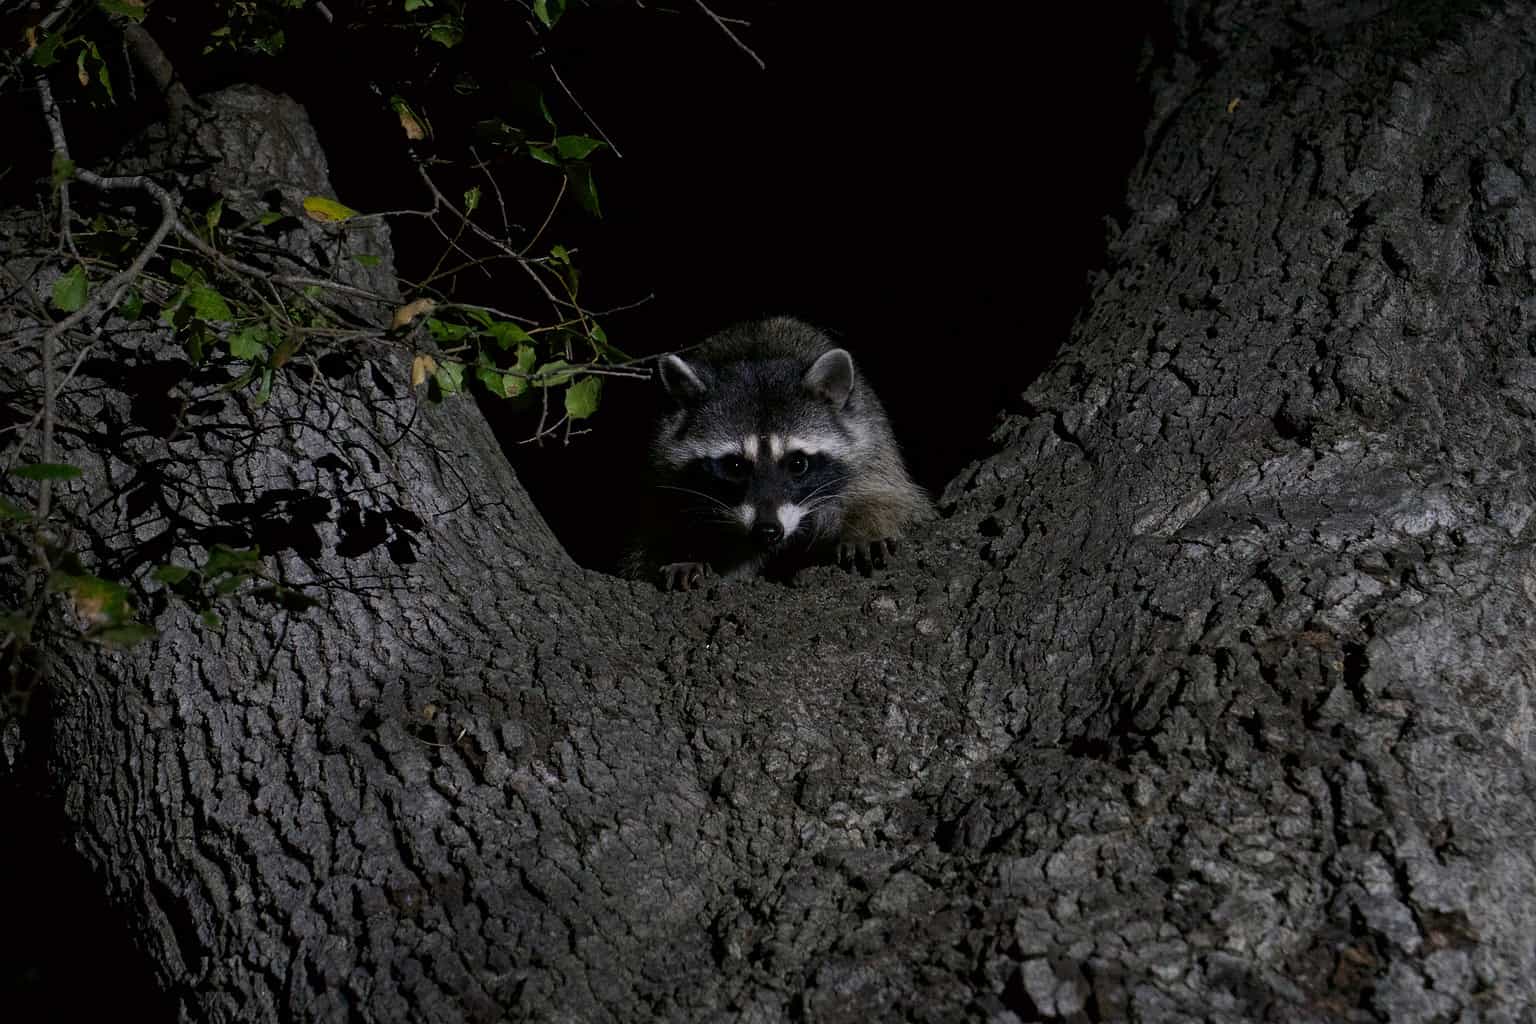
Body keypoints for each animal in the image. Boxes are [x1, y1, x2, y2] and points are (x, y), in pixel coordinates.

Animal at [623, 316, 932, 590]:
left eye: (797, 463)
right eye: (735, 466)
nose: (767, 530)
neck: (761, 356)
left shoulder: (870, 439)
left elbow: (888, 496)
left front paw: (866, 529)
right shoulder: (664, 465)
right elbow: (655, 524)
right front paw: (682, 553)